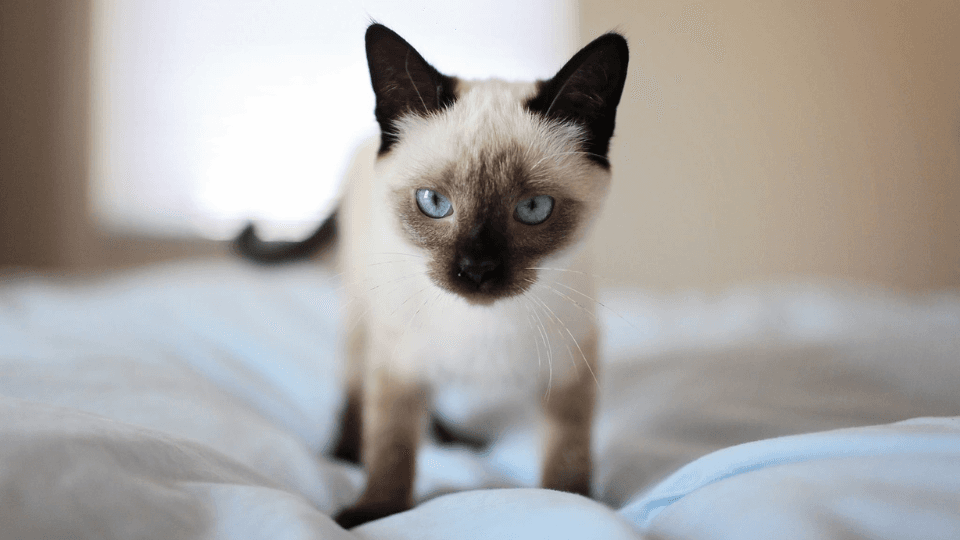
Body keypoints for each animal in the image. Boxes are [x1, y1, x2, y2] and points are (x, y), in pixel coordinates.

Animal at [236, 23, 632, 524]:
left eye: (533, 209)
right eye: (434, 203)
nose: (477, 270)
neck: (481, 326)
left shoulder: (571, 369)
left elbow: (569, 453)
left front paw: (574, 502)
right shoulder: (398, 365)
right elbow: (391, 447)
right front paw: (374, 514)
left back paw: (453, 440)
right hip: (364, 314)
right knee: (354, 387)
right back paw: (346, 451)